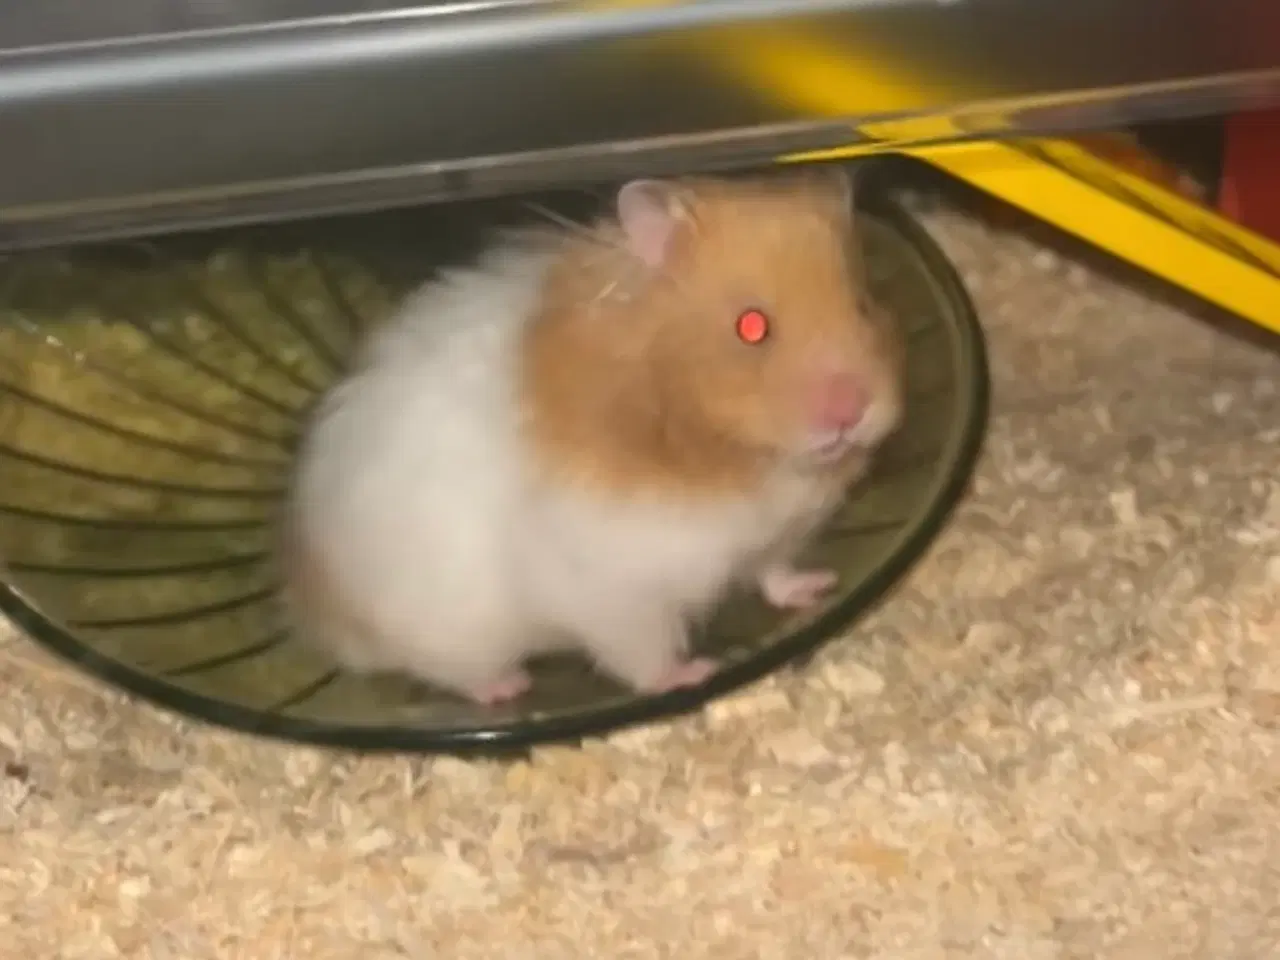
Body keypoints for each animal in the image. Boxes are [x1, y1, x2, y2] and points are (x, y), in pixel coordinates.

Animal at [280, 166, 906, 705]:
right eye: (752, 327)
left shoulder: (777, 536)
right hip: (446, 622)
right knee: (450, 670)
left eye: (863, 305)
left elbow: (775, 572)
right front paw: (695, 672)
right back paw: (510, 687)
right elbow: (645, 654)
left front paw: (818, 585)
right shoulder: (620, 591)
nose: (853, 411)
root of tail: (313, 598)